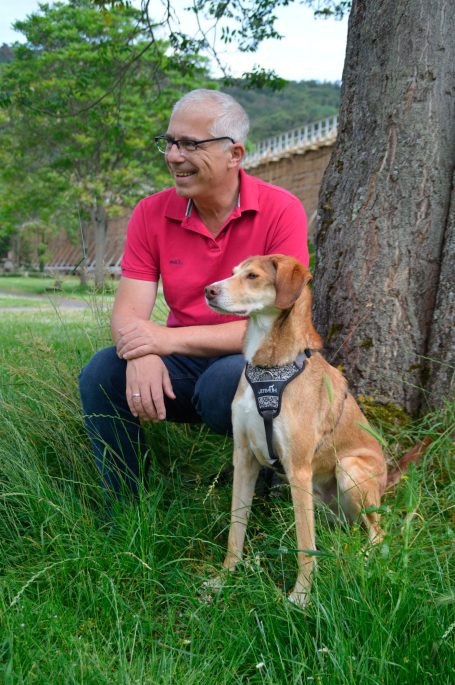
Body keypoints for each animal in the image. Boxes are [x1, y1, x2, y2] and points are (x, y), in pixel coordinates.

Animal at [205, 254, 394, 608]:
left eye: (252, 276)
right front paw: (224, 578)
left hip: (348, 470)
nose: (208, 290)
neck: (269, 369)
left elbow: (306, 546)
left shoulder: (299, 469)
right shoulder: (244, 458)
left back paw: (360, 559)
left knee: (378, 533)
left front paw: (301, 597)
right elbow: (236, 530)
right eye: (234, 272)